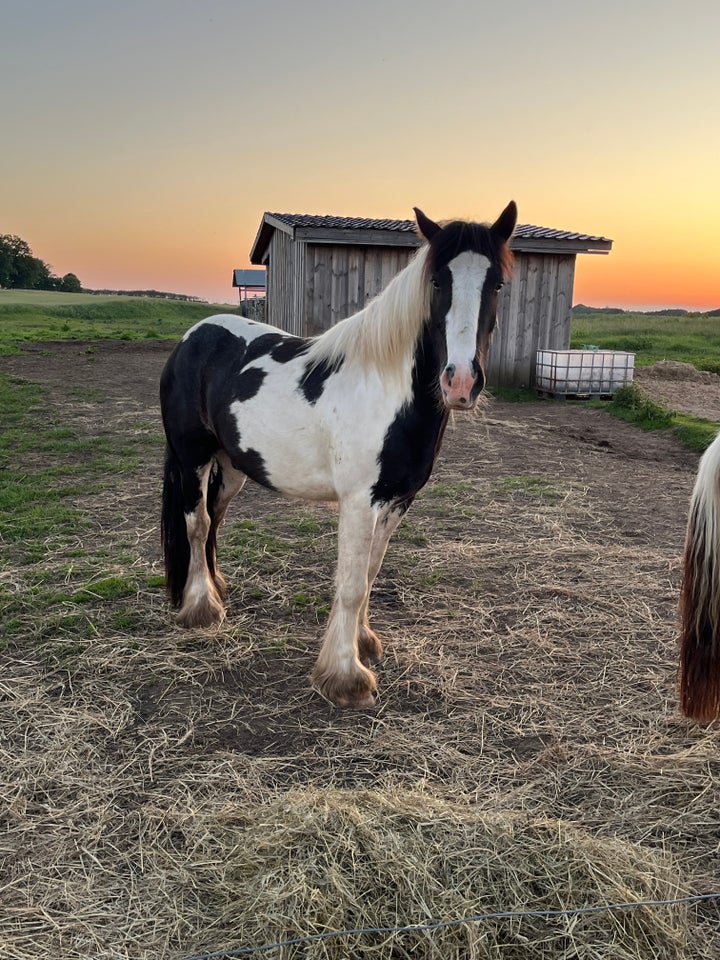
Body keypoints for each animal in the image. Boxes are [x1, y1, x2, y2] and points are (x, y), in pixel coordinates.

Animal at [160, 202, 516, 708]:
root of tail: (192, 338)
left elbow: (369, 574)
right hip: (191, 457)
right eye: (437, 282)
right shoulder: (359, 501)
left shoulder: (397, 500)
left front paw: (364, 643)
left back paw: (217, 587)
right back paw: (201, 608)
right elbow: (349, 585)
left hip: (231, 467)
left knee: (214, 520)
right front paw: (345, 677)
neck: (387, 391)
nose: (461, 382)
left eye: (497, 284)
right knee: (196, 523)